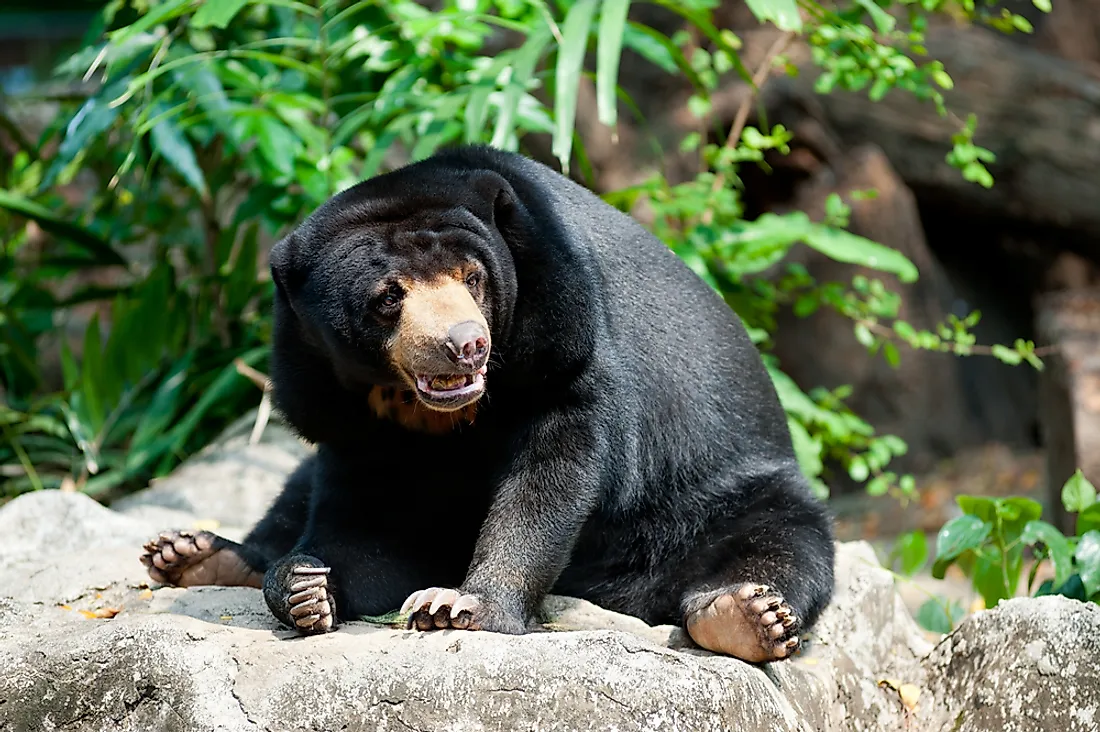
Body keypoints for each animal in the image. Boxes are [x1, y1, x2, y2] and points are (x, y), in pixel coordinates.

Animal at [139, 143, 831, 660]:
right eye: (388, 296)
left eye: (473, 278)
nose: (464, 345)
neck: (431, 414)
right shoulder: (336, 408)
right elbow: (363, 524)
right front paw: (306, 589)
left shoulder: (563, 332)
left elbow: (551, 470)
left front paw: (458, 605)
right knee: (290, 495)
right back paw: (192, 556)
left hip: (715, 496)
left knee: (782, 542)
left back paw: (744, 616)